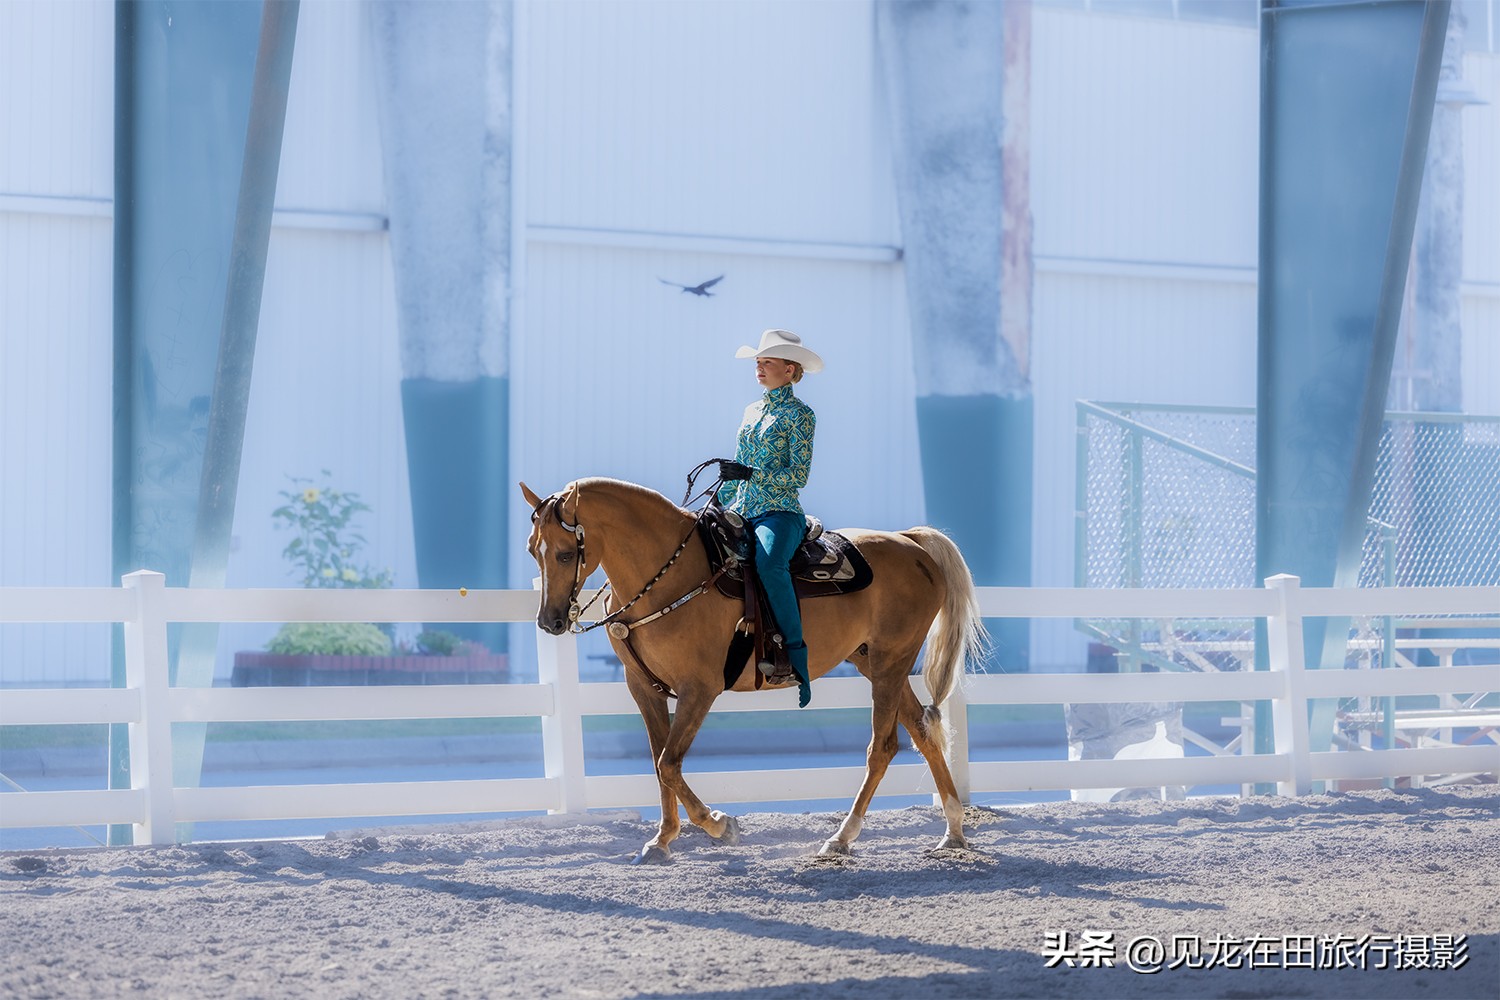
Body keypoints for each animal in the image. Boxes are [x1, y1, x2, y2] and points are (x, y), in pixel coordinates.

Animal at [522, 476, 990, 863]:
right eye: (532, 549)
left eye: (565, 553)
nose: (550, 621)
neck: (671, 579)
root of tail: (910, 542)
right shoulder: (643, 687)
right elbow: (659, 763)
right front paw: (662, 840)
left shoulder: (700, 688)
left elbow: (670, 763)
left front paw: (720, 825)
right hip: (873, 662)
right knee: (923, 731)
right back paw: (953, 831)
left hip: (892, 661)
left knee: (884, 746)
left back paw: (841, 837)